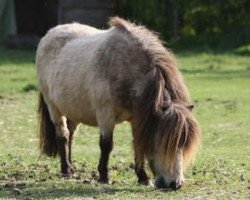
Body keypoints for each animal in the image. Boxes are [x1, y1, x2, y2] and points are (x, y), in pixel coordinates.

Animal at [36, 16, 200, 190]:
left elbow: (137, 144)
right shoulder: (106, 116)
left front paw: (142, 177)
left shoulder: (138, 118)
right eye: (164, 142)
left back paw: (72, 167)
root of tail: (50, 34)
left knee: (71, 134)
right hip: (54, 108)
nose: (175, 184)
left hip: (73, 109)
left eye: (183, 144)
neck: (126, 69)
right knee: (63, 135)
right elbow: (106, 145)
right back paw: (66, 170)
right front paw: (103, 177)